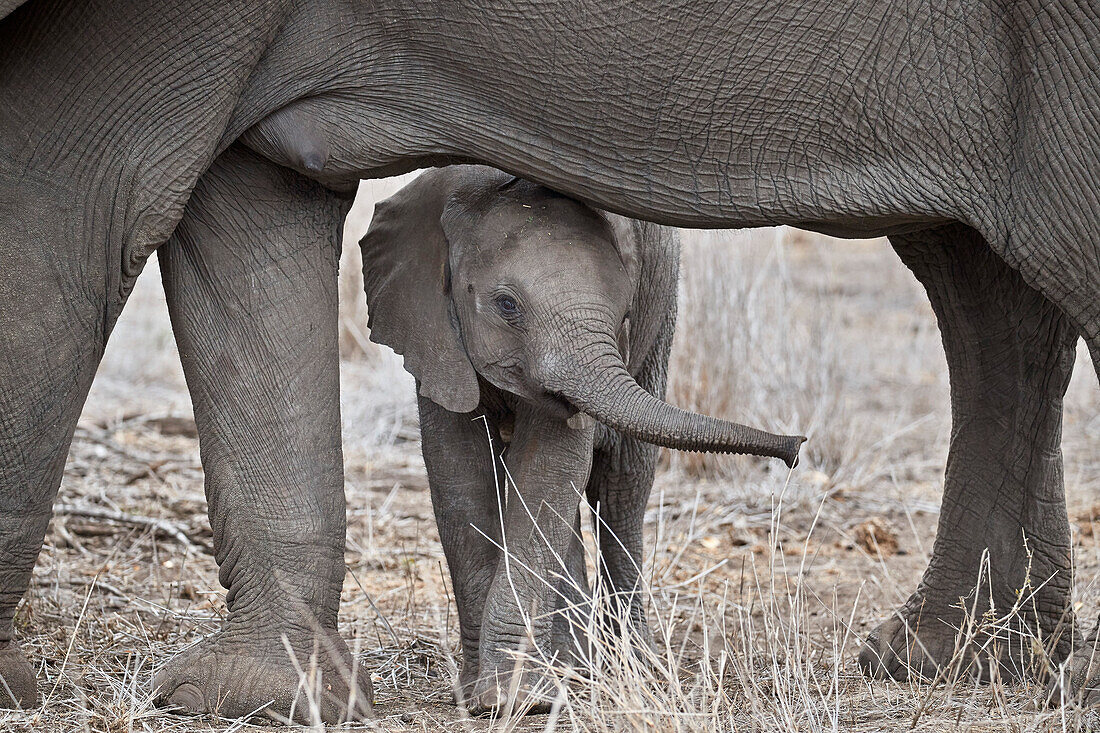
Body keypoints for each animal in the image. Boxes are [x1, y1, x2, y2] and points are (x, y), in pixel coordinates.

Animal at [360, 165, 800, 708]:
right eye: (506, 306)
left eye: (624, 314)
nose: (795, 449)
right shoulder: (433, 331)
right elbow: (457, 470)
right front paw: (483, 696)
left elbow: (548, 469)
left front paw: (517, 700)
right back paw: (572, 664)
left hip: (661, 324)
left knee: (620, 487)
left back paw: (627, 666)